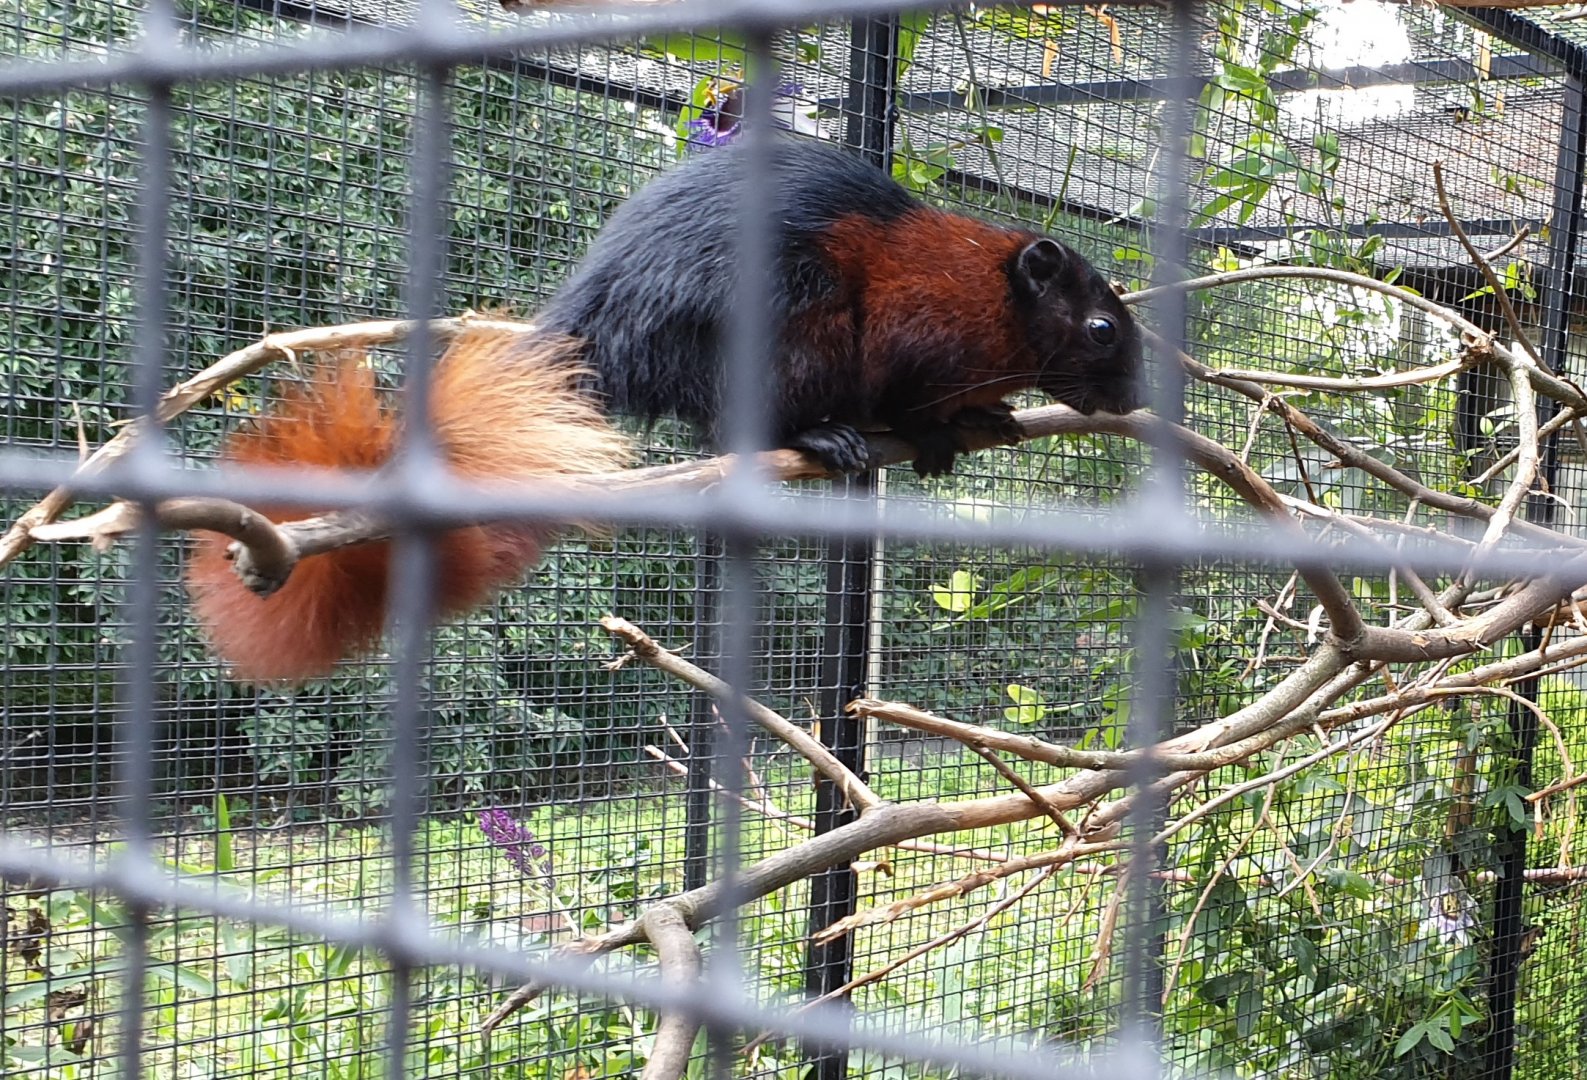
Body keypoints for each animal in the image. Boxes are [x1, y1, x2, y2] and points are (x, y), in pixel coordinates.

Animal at [185, 135, 1143, 684]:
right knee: (743, 421)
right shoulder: (918, 332)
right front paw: (937, 430)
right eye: (1100, 326)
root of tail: (599, 326)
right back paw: (825, 435)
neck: (990, 295)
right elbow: (908, 400)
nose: (1135, 398)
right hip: (788, 327)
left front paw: (992, 419)